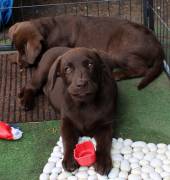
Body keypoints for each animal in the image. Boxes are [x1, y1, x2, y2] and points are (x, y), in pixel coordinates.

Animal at [8, 15, 164, 89]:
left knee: (141, 69)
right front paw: (12, 57)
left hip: (119, 53)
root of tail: (158, 46)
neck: (48, 30)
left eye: (25, 52)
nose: (21, 65)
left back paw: (118, 74)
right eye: (19, 49)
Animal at [18, 46, 117, 174]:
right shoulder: (67, 123)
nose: (81, 84)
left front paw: (103, 161)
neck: (85, 104)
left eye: (90, 65)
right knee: (31, 86)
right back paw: (26, 101)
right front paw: (69, 160)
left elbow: (104, 142)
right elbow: (68, 141)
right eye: (67, 69)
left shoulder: (105, 124)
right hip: (41, 72)